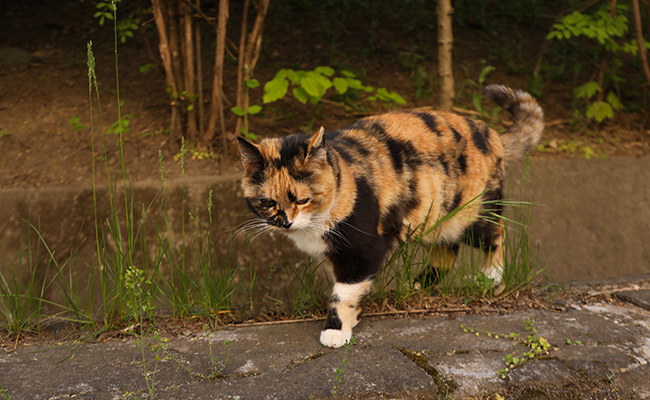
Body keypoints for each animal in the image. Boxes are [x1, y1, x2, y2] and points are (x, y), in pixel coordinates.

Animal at [235, 84, 540, 346]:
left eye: (302, 199)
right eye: (267, 202)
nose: (285, 222)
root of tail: (492, 133)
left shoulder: (364, 249)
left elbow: (343, 292)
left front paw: (336, 330)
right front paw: (353, 318)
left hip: (471, 214)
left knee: (496, 233)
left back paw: (490, 278)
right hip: (433, 218)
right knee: (447, 250)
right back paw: (419, 284)